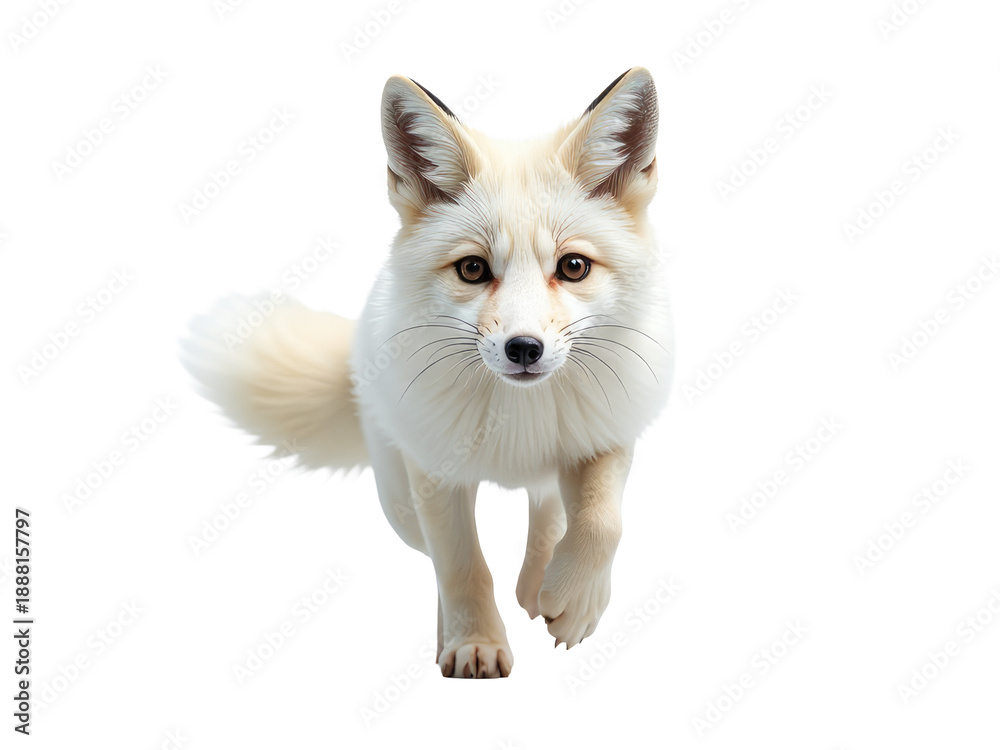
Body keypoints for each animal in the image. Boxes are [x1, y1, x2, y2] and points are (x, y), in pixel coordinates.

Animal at [182, 67, 673, 679]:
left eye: (574, 267)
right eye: (473, 269)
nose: (524, 349)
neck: (518, 421)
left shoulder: (607, 431)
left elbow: (602, 523)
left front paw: (577, 602)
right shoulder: (435, 473)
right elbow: (462, 566)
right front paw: (474, 642)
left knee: (548, 512)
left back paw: (539, 584)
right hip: (399, 500)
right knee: (440, 555)